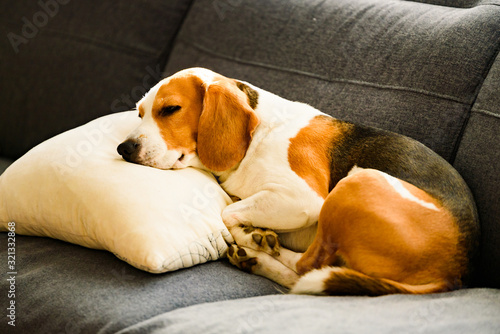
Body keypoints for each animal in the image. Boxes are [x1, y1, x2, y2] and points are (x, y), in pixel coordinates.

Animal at [117, 67, 480, 294]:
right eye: (139, 113)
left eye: (170, 109)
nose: (123, 148)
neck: (256, 136)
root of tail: (454, 270)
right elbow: (233, 205)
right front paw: (254, 232)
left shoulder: (302, 199)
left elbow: (227, 213)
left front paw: (250, 232)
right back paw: (253, 259)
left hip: (356, 182)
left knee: (310, 265)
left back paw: (259, 250)